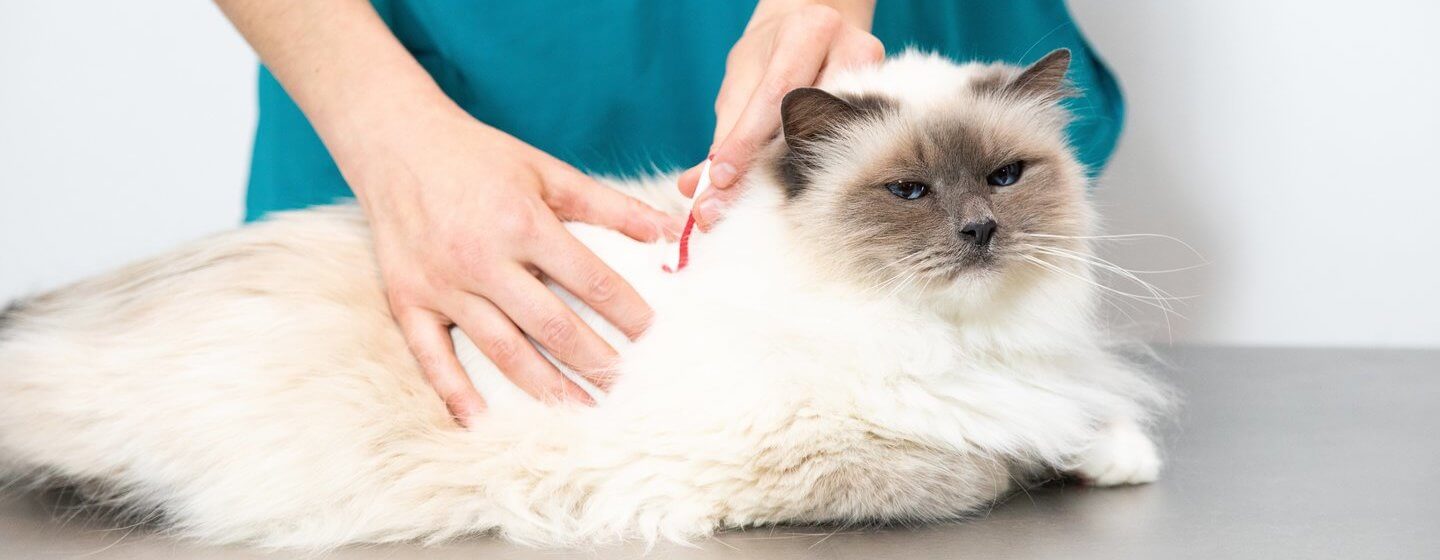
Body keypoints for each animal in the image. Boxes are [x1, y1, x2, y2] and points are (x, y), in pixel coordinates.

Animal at [0, 50, 1169, 547]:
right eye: (912, 192)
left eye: (1005, 178)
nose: (978, 233)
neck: (955, 337)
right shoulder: (792, 459)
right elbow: (976, 468)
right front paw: (1048, 459)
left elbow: (1072, 423)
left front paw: (1115, 456)